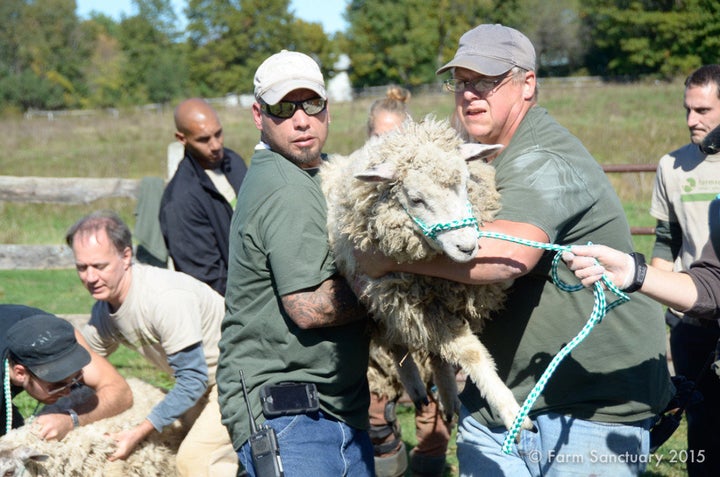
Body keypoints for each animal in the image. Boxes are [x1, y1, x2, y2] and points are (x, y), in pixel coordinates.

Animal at [320, 115, 536, 432]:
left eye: (465, 183)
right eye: (416, 199)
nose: (467, 247)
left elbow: (444, 352)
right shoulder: (408, 303)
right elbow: (470, 353)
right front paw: (512, 412)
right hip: (384, 301)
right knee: (396, 341)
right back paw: (415, 383)